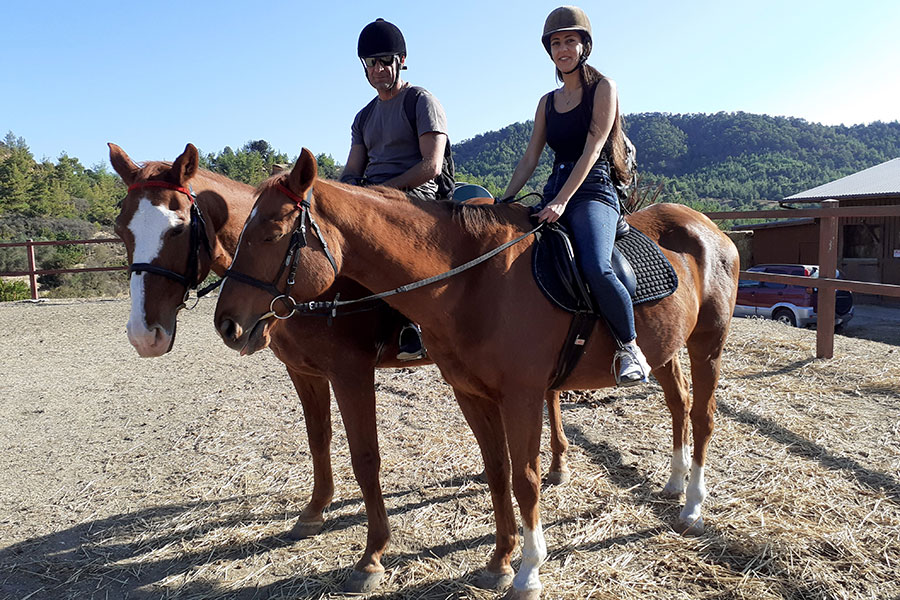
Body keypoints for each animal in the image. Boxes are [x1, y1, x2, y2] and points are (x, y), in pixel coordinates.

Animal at [109, 143, 572, 594]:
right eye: (121, 230)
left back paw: (557, 466)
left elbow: (365, 457)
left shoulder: (351, 373)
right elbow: (318, 440)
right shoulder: (305, 372)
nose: (143, 335)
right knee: (545, 398)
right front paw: (314, 512)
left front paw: (372, 556)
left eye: (178, 229)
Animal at [214, 149, 740, 599]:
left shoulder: (516, 395)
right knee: (679, 405)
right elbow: (497, 471)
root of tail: (706, 228)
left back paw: (693, 507)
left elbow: (524, 478)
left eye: (272, 233)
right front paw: (500, 561)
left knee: (703, 417)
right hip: (667, 350)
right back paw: (674, 483)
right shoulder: (471, 394)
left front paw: (528, 572)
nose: (227, 324)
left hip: (708, 344)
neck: (473, 280)